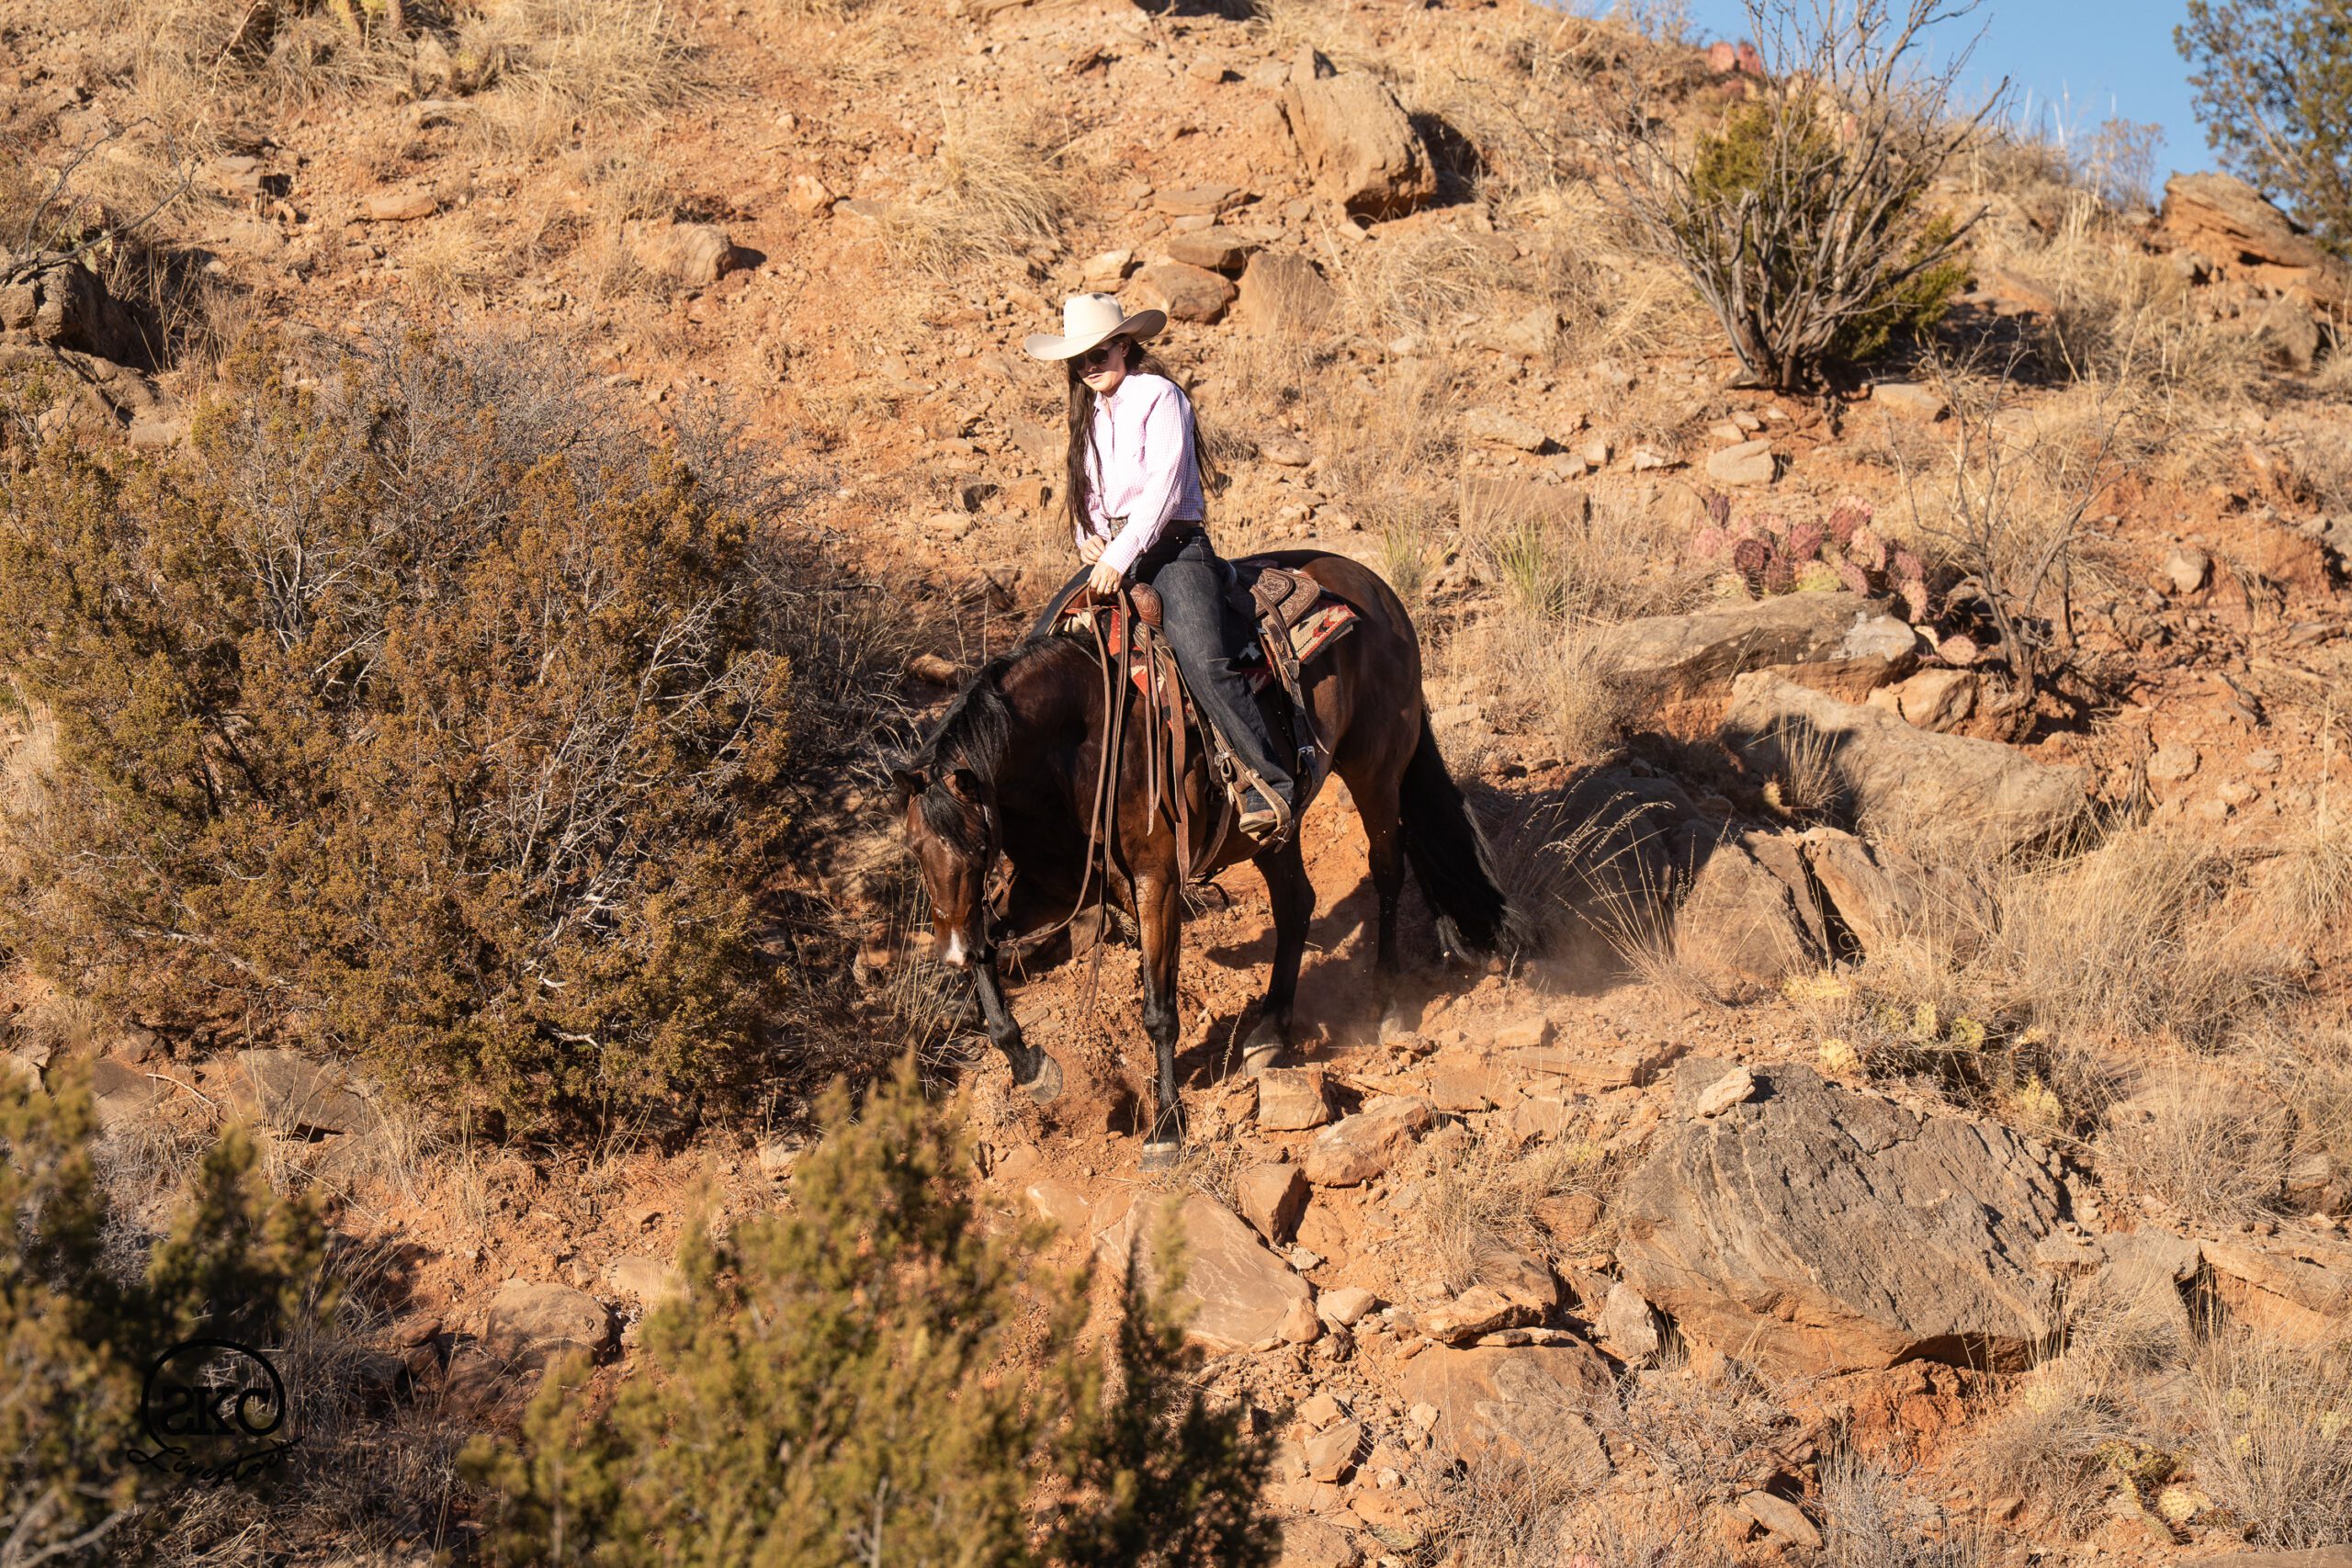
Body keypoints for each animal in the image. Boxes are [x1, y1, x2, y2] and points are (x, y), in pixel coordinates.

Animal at [892, 550, 1519, 1163]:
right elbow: (989, 956)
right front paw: (1031, 1066)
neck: (1078, 743)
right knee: (1296, 903)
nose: (947, 952)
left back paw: (1386, 1004)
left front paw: (1167, 1126)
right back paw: (1269, 1032)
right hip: (1278, 826)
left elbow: (1159, 1010)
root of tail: (1377, 588)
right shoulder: (1047, 886)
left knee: (1387, 872)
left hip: (1376, 772)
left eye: (979, 845)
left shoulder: (1157, 879)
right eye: (914, 850)